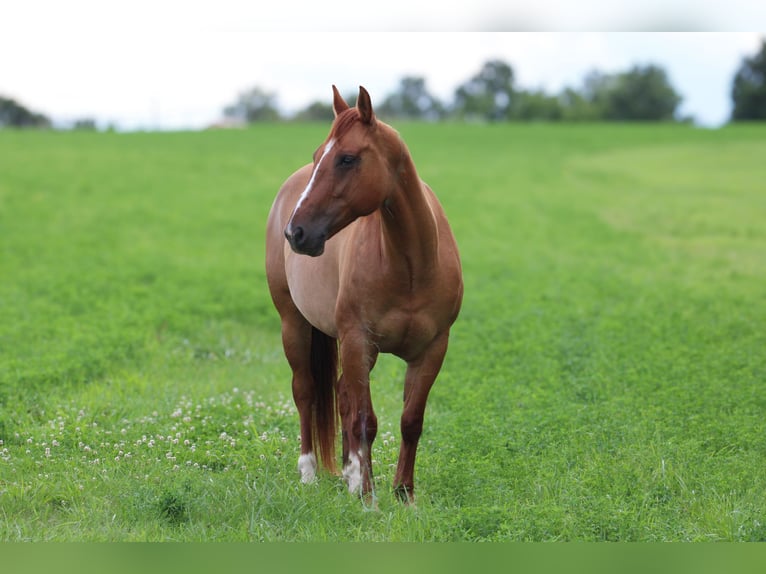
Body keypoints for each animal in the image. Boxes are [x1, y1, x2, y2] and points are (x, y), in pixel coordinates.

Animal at [265, 85, 463, 503]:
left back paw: (348, 473)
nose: (296, 233)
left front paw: (403, 493)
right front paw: (369, 496)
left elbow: (410, 419)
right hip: (295, 324)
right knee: (306, 391)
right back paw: (310, 472)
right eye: (318, 156)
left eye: (347, 158)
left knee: (341, 394)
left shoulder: (433, 349)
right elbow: (364, 420)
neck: (410, 266)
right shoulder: (359, 341)